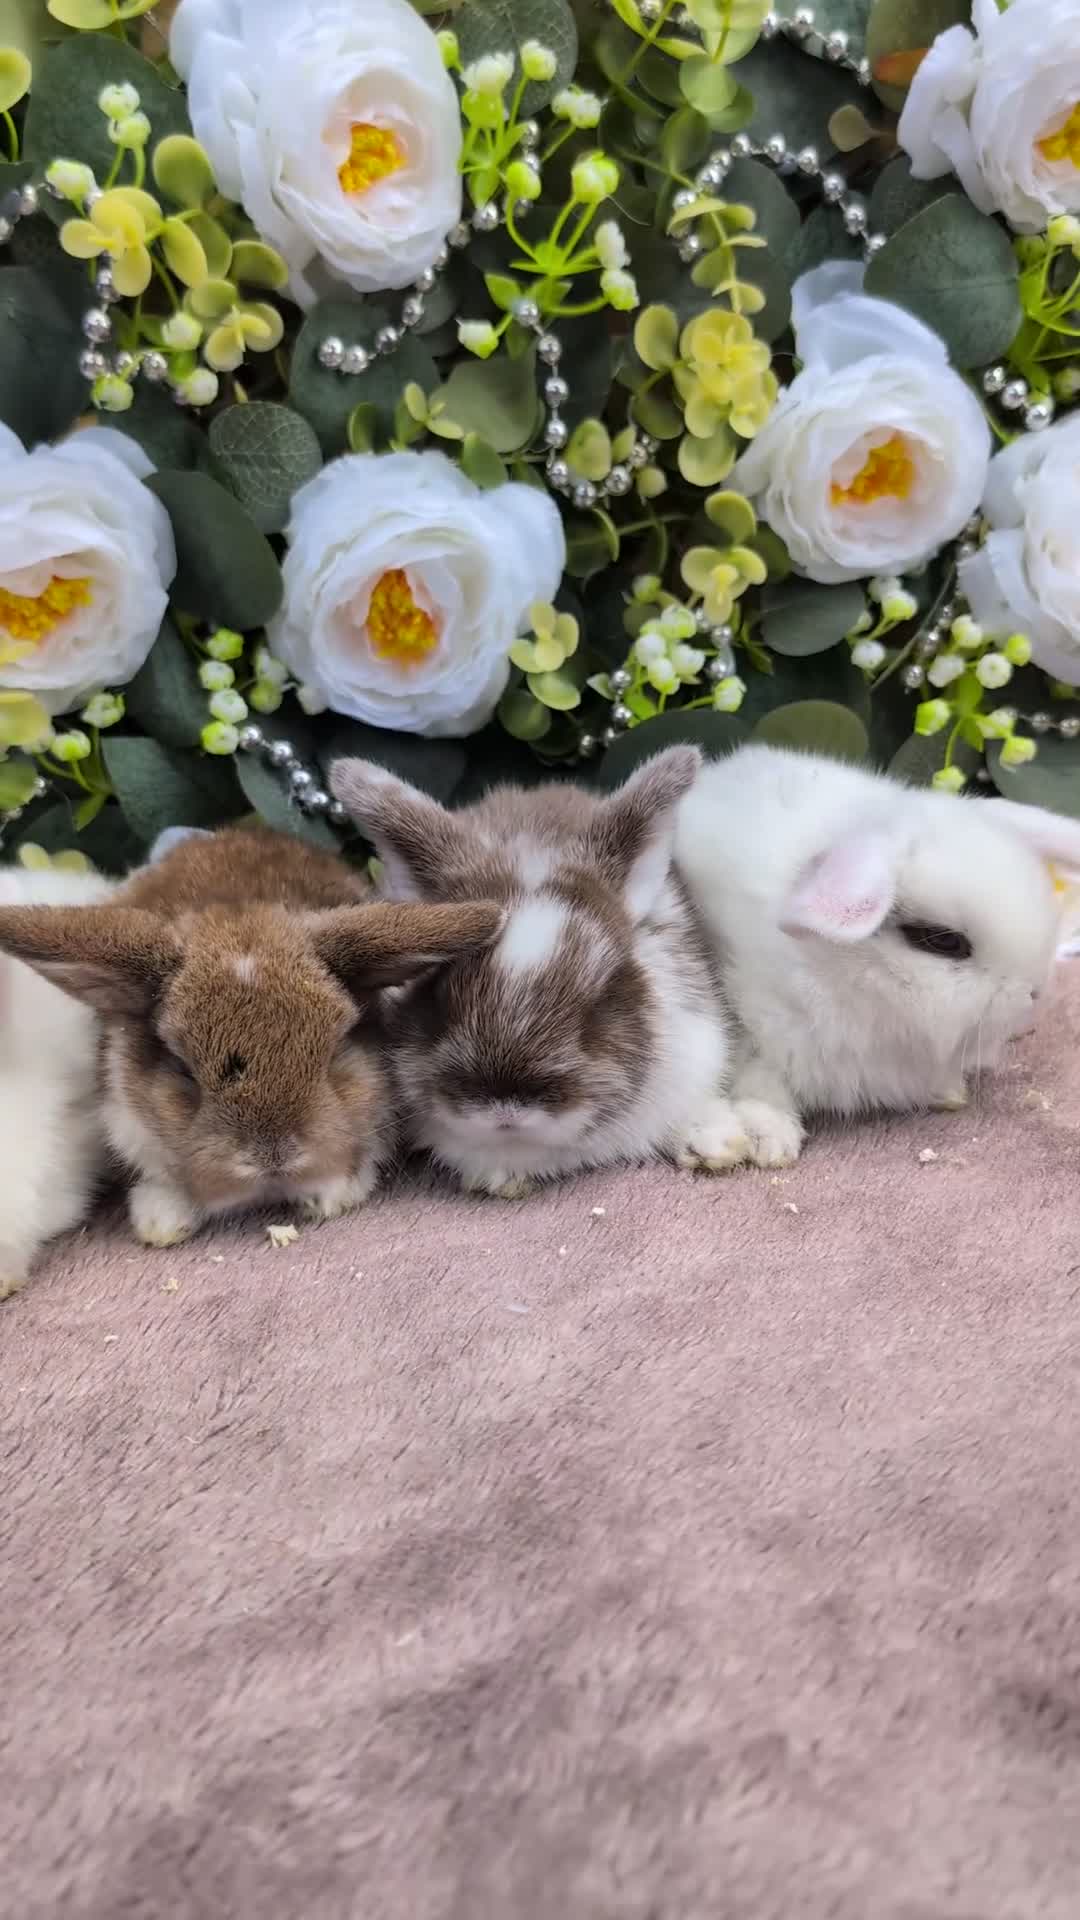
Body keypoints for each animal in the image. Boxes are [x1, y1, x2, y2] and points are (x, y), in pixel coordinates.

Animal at [675, 743, 1080, 1167]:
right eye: (942, 941)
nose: (1034, 992)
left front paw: (948, 1092)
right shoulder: (751, 1032)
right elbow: (758, 1085)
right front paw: (769, 1141)